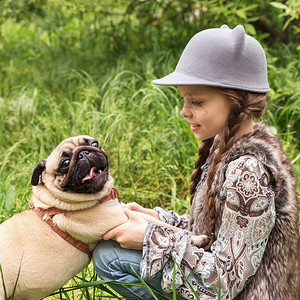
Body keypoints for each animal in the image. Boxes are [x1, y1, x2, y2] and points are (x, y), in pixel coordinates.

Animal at [0, 136, 209, 300]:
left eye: (94, 143)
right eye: (65, 164)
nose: (84, 153)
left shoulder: (125, 211)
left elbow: (158, 222)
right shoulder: (119, 219)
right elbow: (164, 227)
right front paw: (196, 238)